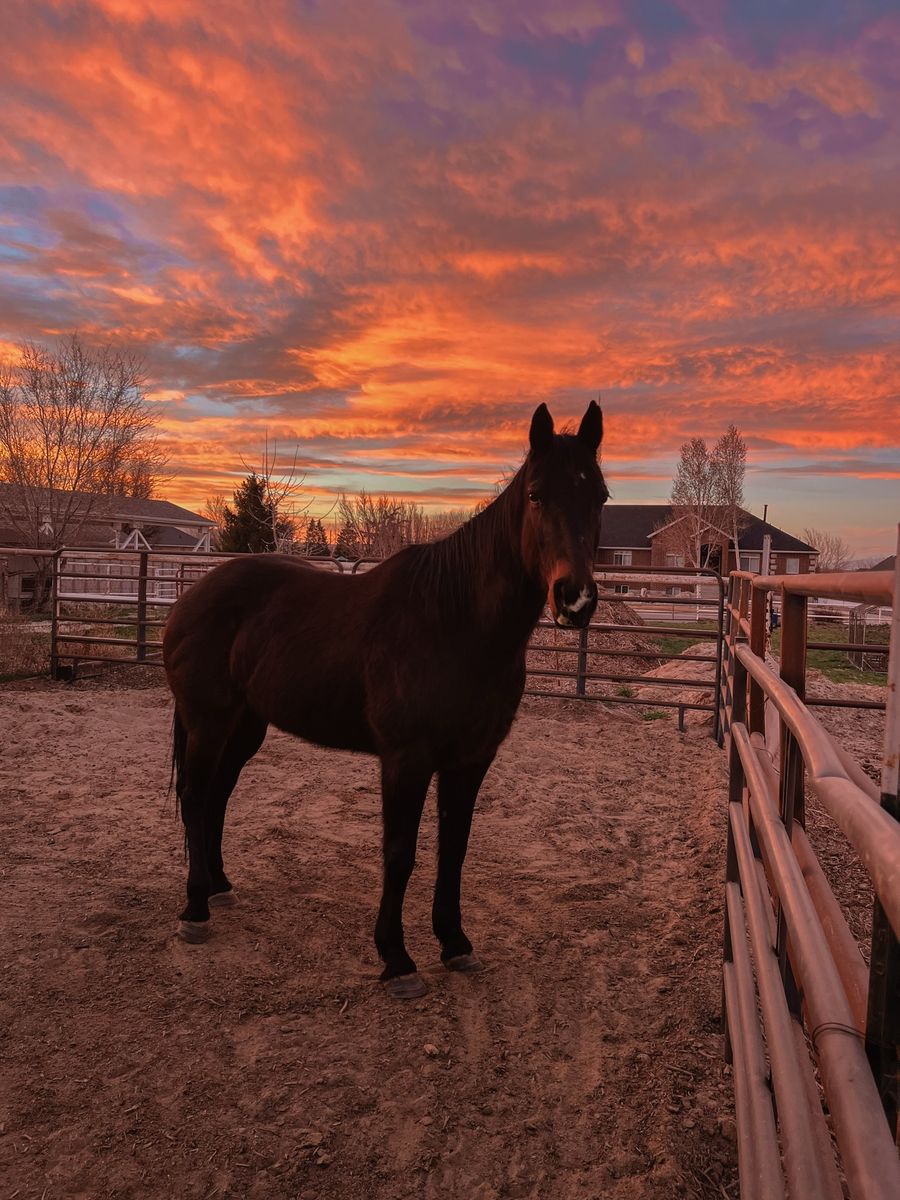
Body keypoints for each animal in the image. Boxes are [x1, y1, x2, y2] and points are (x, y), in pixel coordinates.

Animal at [163, 401, 609, 998]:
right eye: (537, 495)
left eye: (599, 495)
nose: (575, 598)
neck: (454, 623)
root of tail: (191, 596)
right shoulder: (405, 760)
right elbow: (399, 854)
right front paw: (397, 960)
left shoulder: (471, 761)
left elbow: (454, 849)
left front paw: (455, 943)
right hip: (208, 721)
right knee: (194, 794)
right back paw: (195, 911)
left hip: (245, 725)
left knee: (217, 794)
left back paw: (218, 886)